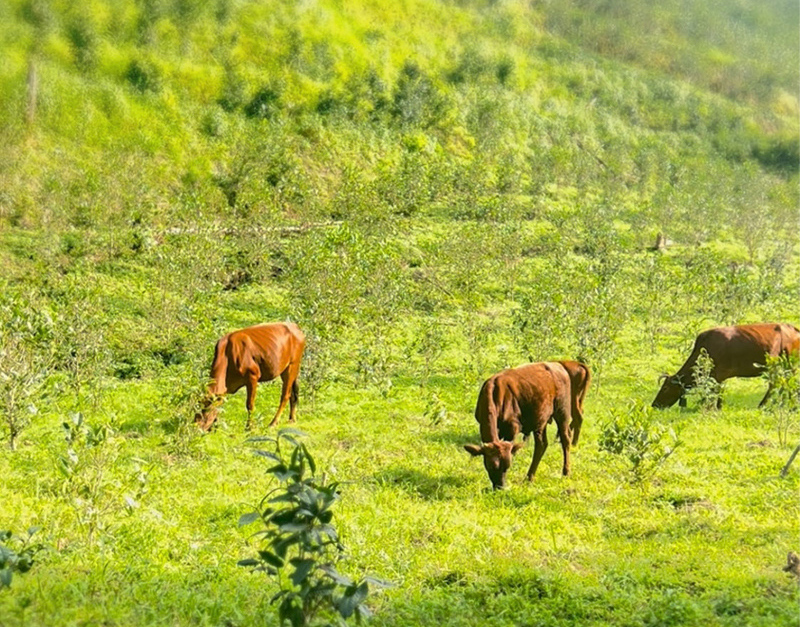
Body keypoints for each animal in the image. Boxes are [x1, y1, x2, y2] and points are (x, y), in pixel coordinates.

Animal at [464, 360, 591, 490]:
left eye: (507, 466)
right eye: (491, 466)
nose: (501, 487)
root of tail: (558, 365)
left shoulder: (512, 428)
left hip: (562, 412)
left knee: (565, 439)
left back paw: (565, 472)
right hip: (541, 419)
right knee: (542, 445)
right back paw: (530, 477)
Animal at [652, 323, 800, 409]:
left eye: (665, 388)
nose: (654, 405)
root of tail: (793, 328)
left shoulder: (720, 374)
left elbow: (717, 391)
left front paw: (717, 407)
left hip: (788, 362)